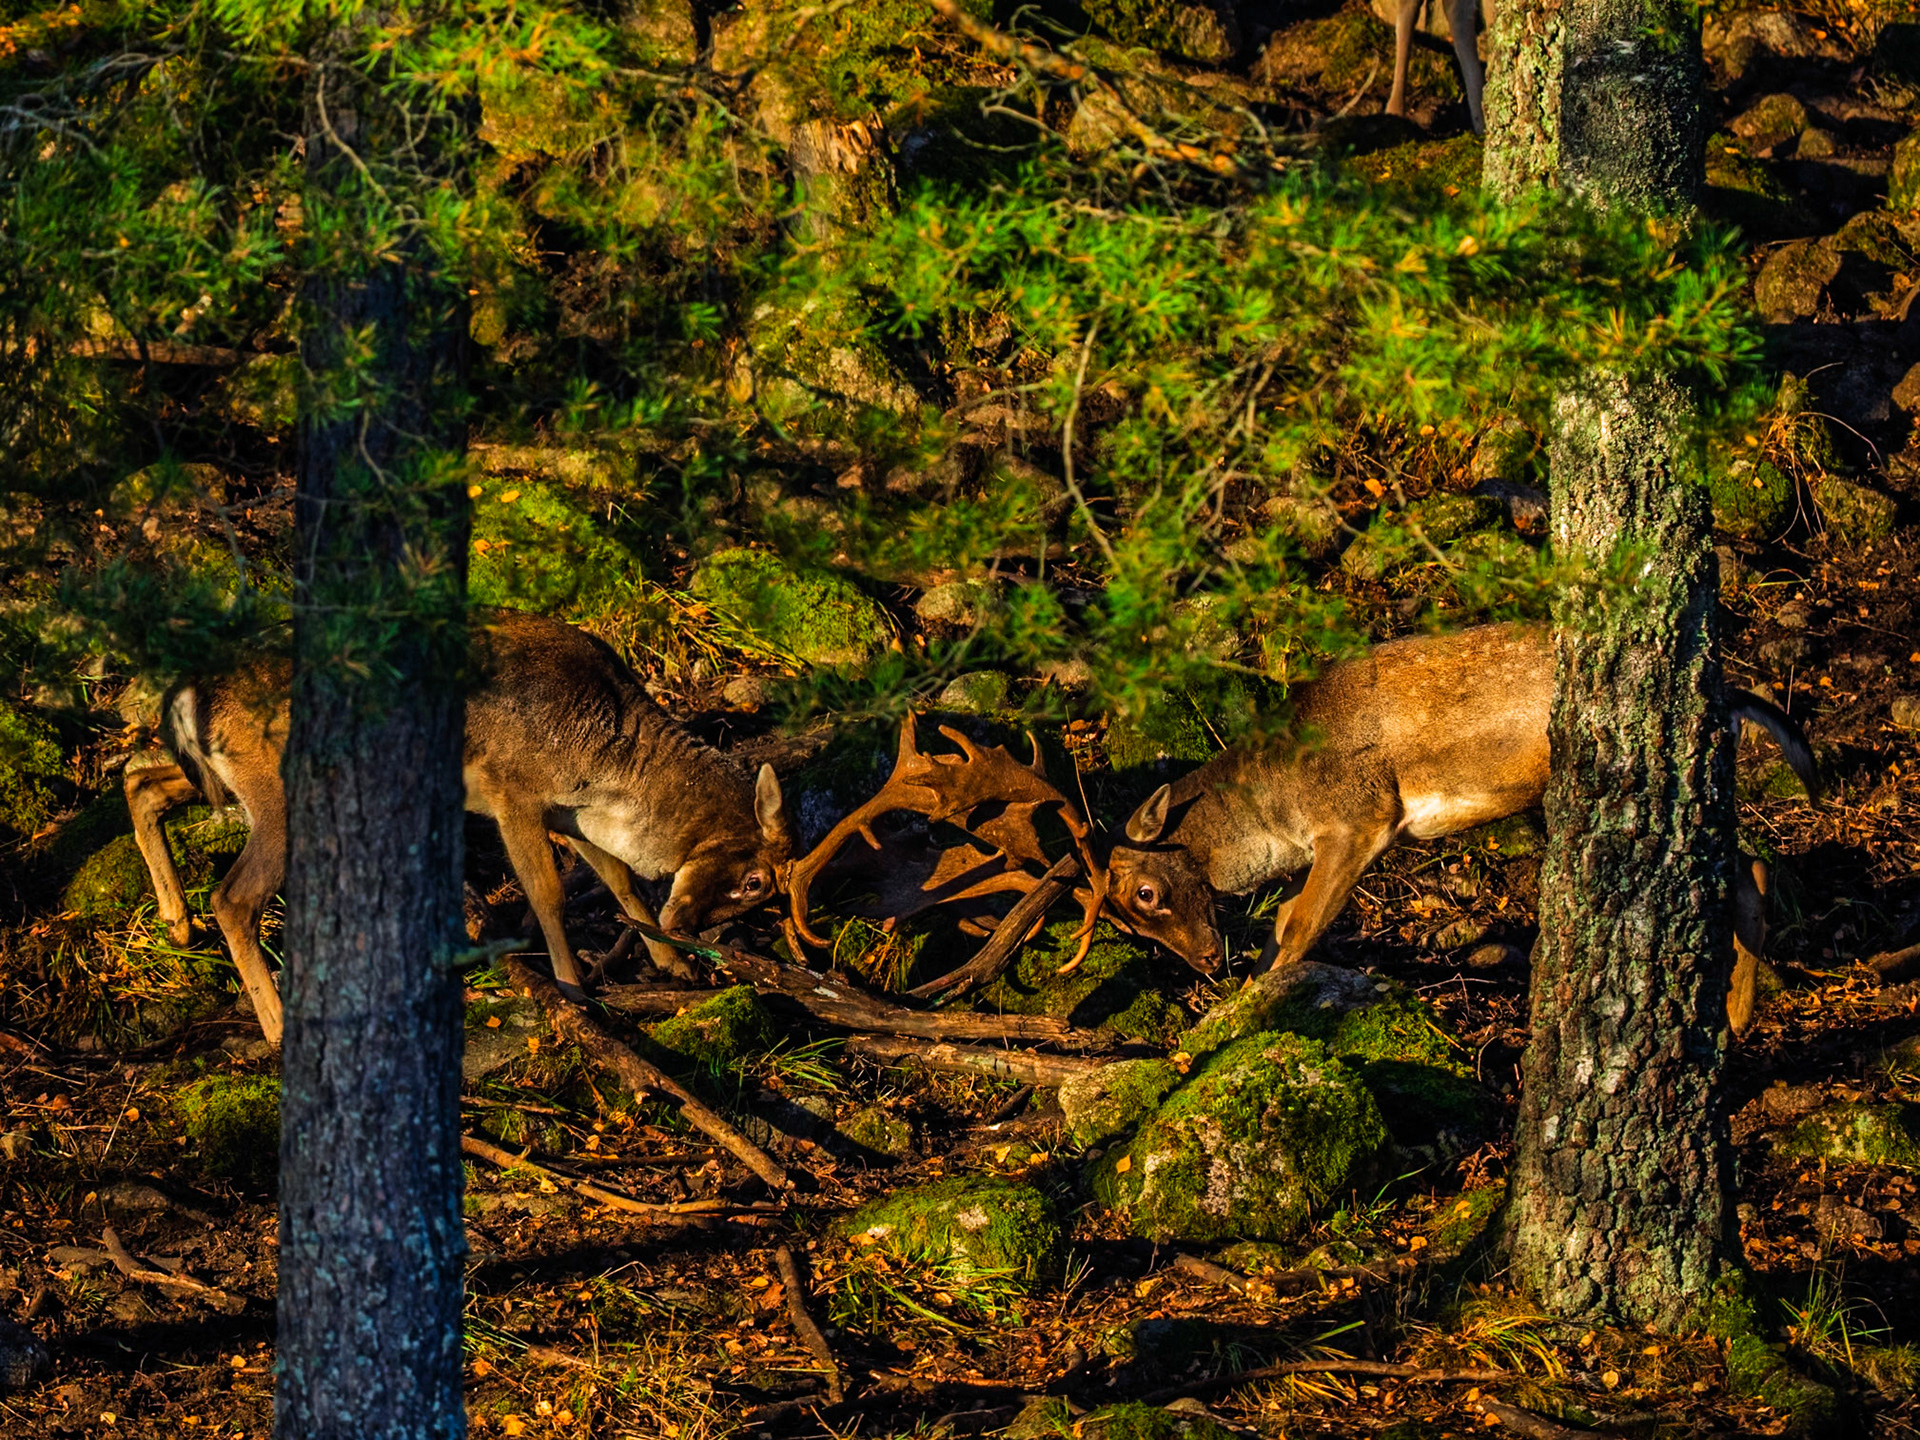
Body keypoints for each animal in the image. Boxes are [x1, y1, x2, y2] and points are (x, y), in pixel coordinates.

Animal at [123, 610, 794, 1047]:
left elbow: (620, 879)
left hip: (225, 780)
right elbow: (549, 895)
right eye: (757, 882)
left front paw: (672, 966)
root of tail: (188, 692)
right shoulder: (512, 790)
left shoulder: (567, 811)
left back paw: (176, 922)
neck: (607, 765)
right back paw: (276, 1028)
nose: (688, 930)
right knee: (233, 896)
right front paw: (575, 994)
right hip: (283, 791)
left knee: (139, 777)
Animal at [1104, 622, 1818, 1034]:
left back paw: (1735, 1017)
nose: (1204, 962)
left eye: (1146, 892)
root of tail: (1731, 697)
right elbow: (1283, 921)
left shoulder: (1360, 817)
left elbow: (1298, 924)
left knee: (1746, 871)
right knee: (1753, 864)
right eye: (1124, 917)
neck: (1281, 812)